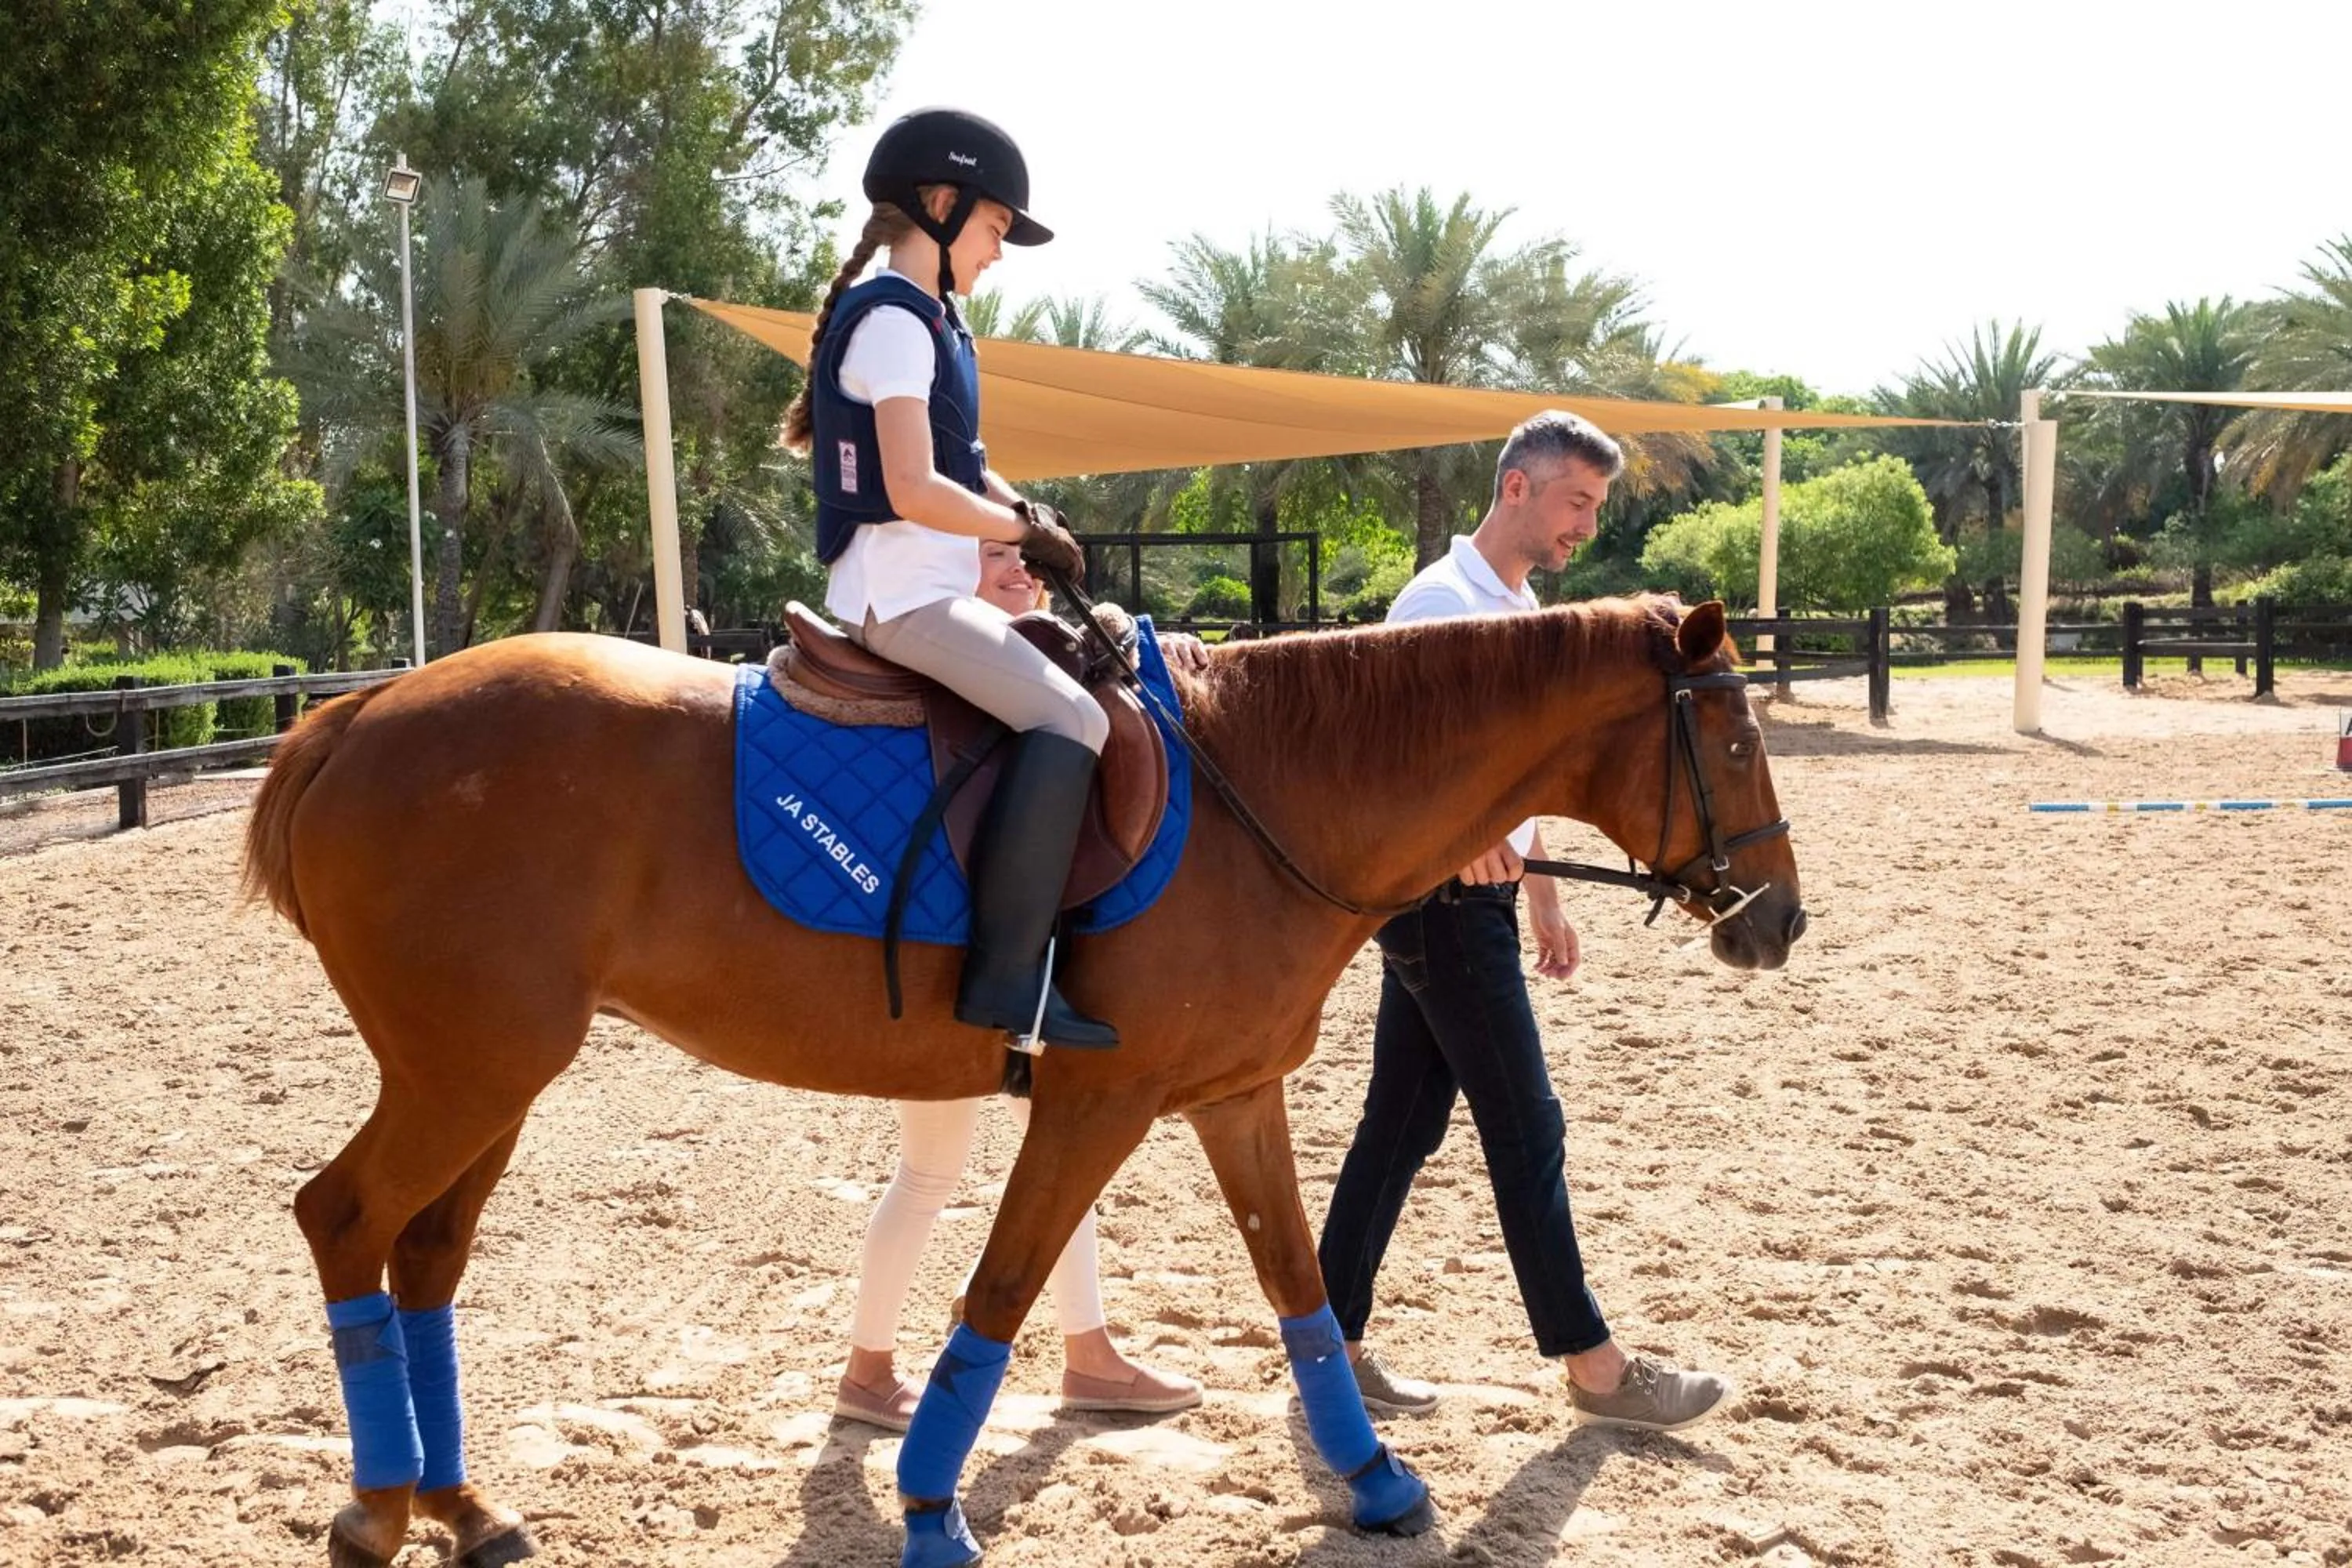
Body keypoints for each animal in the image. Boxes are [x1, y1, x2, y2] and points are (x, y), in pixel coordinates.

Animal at [240, 594, 1804, 1567]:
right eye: (1732, 739)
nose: (1780, 923)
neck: (1265, 791)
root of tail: (354, 717)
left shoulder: (1231, 1098)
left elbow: (1298, 1285)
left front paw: (1374, 1481)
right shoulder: (1094, 1103)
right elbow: (996, 1293)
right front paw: (931, 1507)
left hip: (497, 1079)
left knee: (427, 1257)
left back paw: (463, 1507)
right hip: (467, 1072)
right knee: (344, 1220)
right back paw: (376, 1511)